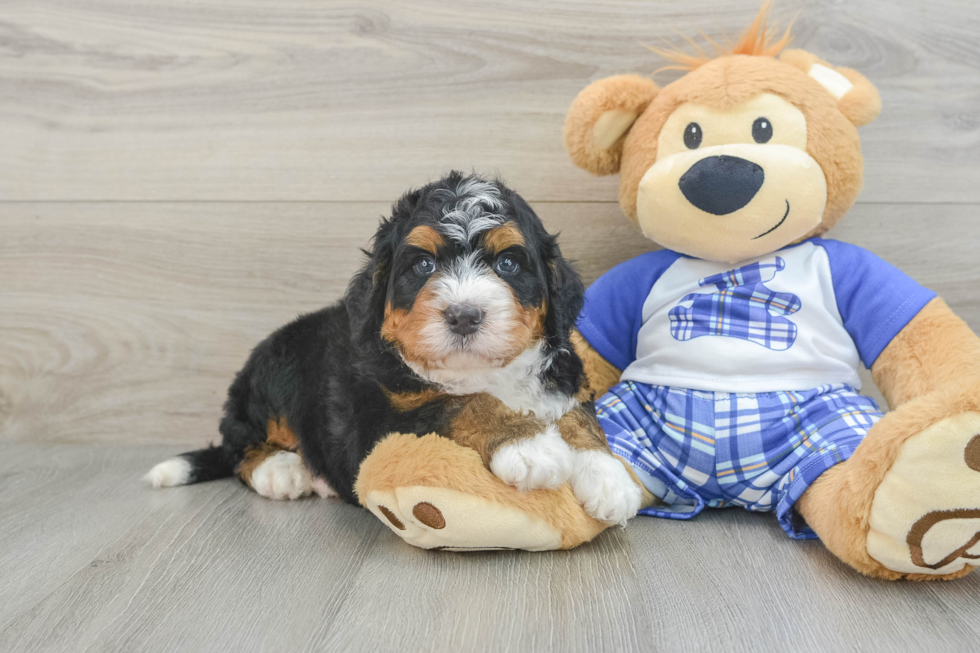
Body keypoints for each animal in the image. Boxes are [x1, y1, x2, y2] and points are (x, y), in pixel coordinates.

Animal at [142, 172, 640, 524]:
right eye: (422, 265)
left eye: (508, 263)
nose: (464, 315)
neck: (483, 371)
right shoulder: (381, 421)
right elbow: (463, 404)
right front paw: (530, 445)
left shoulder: (565, 376)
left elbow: (577, 416)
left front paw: (609, 477)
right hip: (274, 368)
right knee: (239, 445)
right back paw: (283, 471)